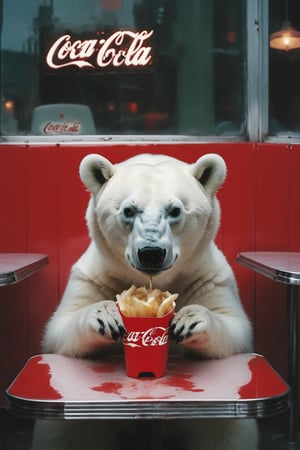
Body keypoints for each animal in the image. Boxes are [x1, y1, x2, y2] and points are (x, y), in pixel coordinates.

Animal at [31, 154, 258, 450]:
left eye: (175, 210)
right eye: (128, 210)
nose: (151, 253)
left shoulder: (206, 276)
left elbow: (235, 330)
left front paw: (189, 320)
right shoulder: (95, 276)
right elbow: (58, 331)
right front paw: (105, 315)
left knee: (227, 432)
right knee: (63, 433)